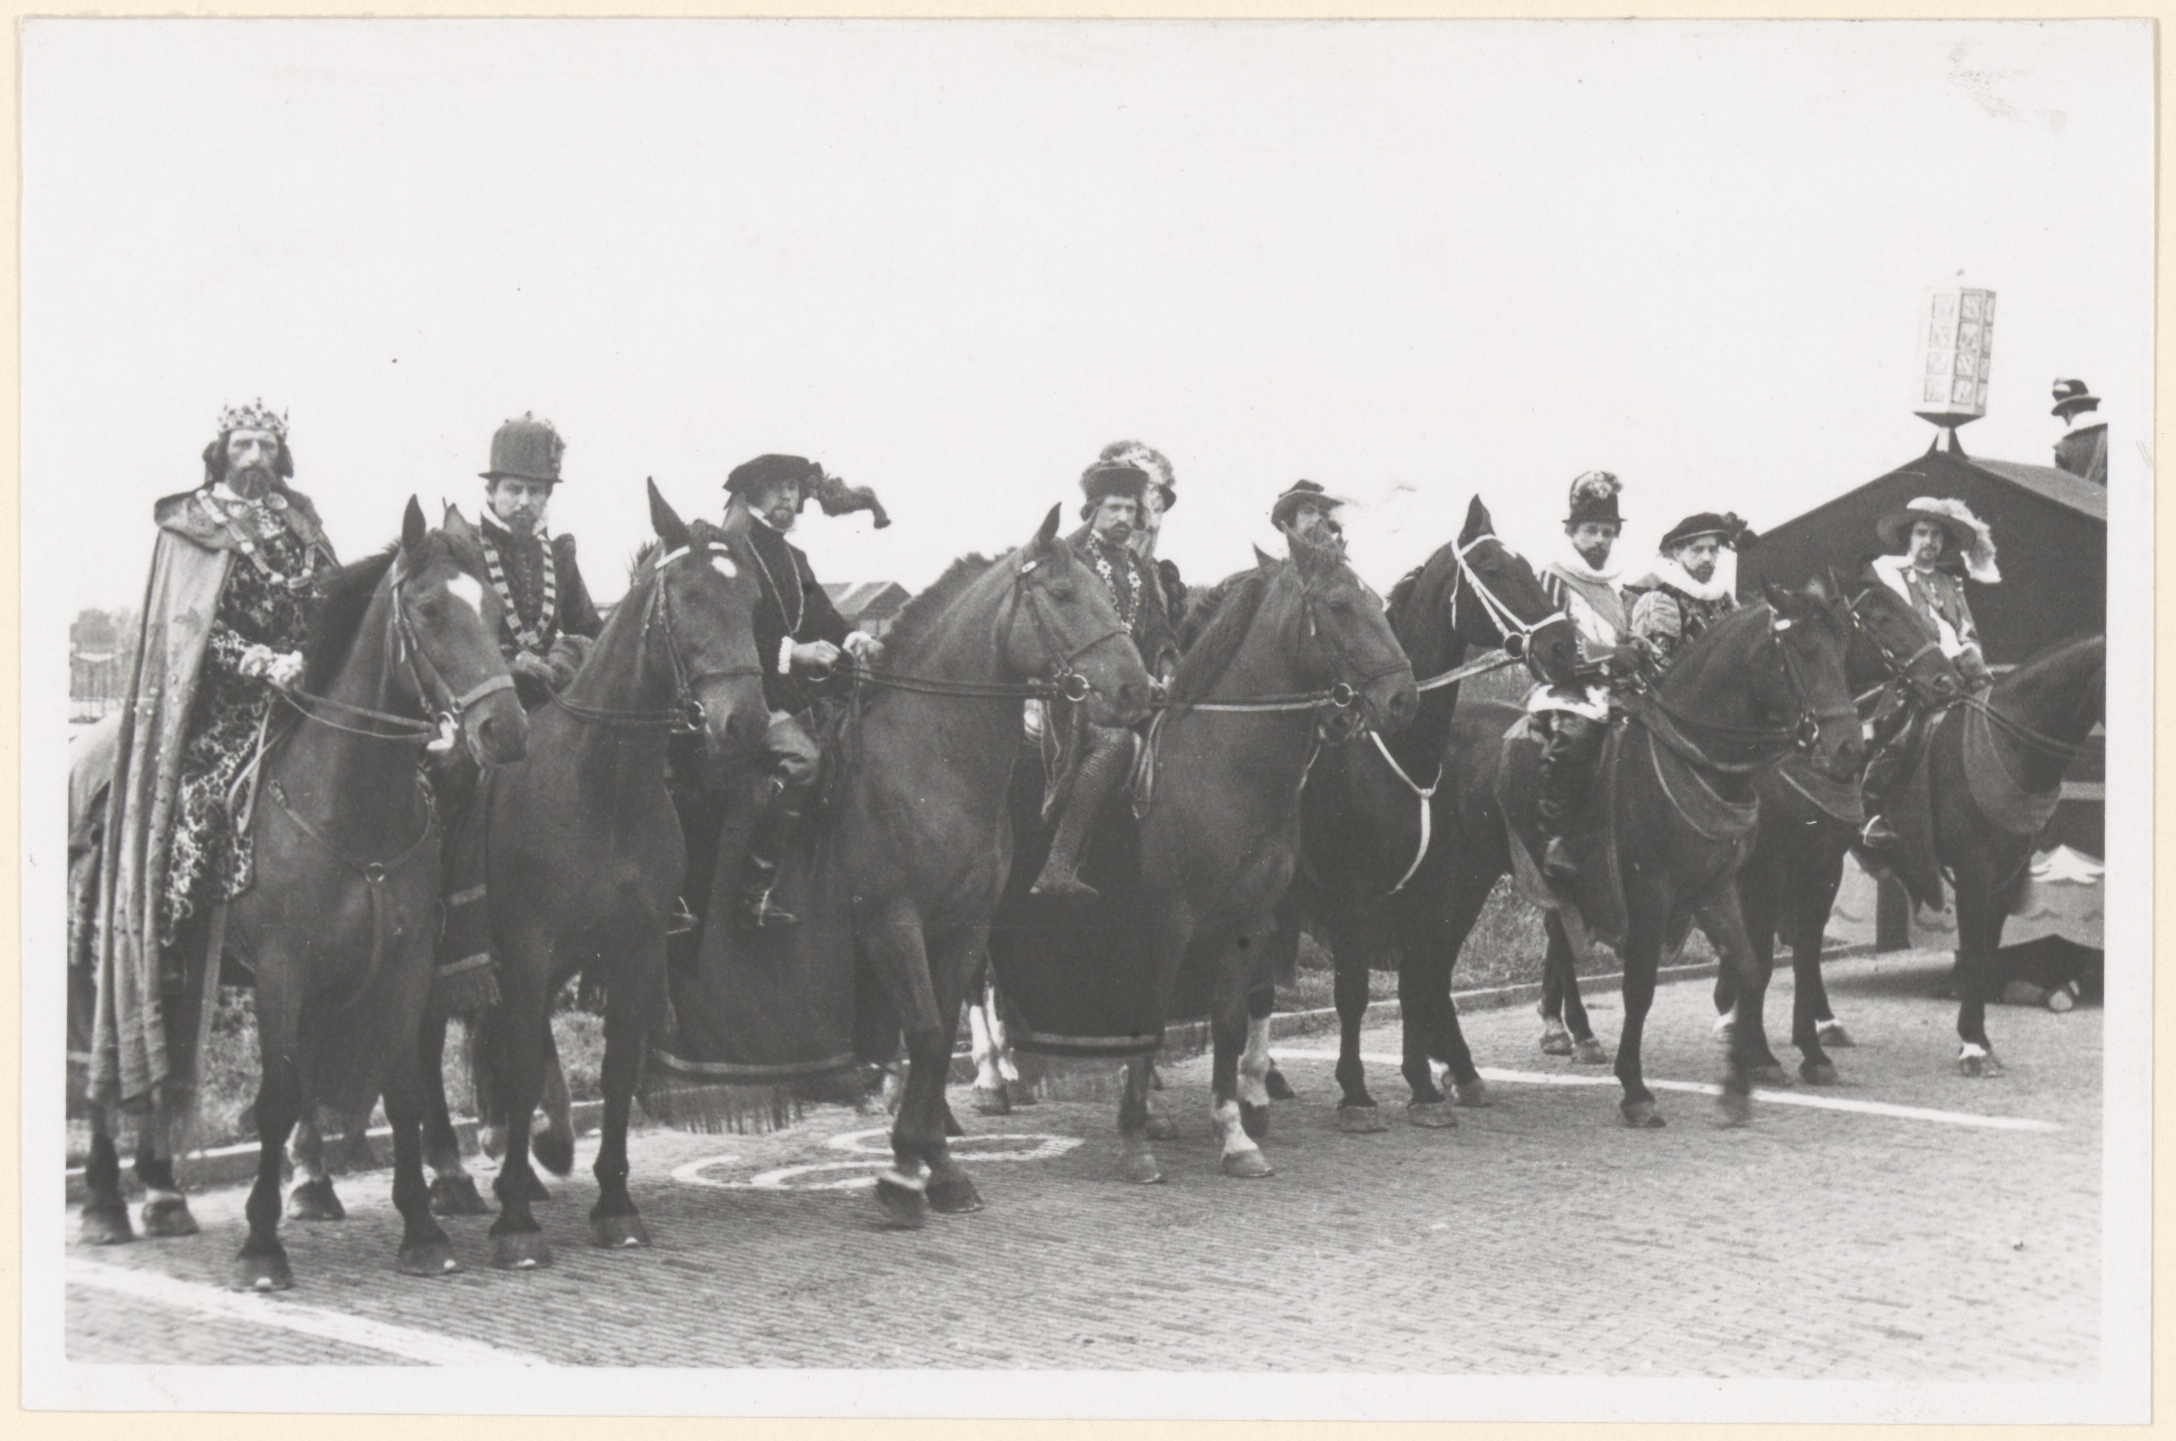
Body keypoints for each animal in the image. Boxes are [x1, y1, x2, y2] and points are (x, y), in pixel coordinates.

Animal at [77, 499, 531, 1289]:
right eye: (430, 609)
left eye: (495, 609)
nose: (504, 730)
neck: (350, 807)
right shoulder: (283, 971)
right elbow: (278, 1098)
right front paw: (262, 1243)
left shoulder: (404, 965)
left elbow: (403, 1088)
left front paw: (422, 1227)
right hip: (104, 963)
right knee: (104, 1072)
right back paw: (107, 1200)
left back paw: (164, 1195)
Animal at [405, 482, 772, 1269]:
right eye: (688, 594)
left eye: (753, 597)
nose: (745, 723)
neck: (600, 787)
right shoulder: (528, 949)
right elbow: (519, 1063)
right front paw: (515, 1218)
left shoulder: (633, 950)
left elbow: (615, 1071)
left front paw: (613, 1201)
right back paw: (437, 1175)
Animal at [1113, 531, 1418, 1182]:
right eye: (1338, 604)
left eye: (1377, 601)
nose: (1403, 698)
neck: (1219, 772)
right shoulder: (1165, 922)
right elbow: (1148, 1024)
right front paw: (1135, 1142)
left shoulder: (1248, 922)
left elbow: (1230, 1023)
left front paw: (1234, 1135)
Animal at [1296, 495, 1584, 1131]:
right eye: (1496, 569)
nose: (1563, 647)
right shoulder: (1354, 894)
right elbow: (1355, 991)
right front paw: (1356, 1094)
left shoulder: (1431, 892)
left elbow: (1416, 983)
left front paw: (1425, 1086)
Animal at [1932, 634, 2104, 1077]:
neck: (2008, 743)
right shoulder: (1973, 870)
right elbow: (1974, 955)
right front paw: (1972, 1050)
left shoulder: (2007, 873)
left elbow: (1988, 953)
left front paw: (1978, 1039)